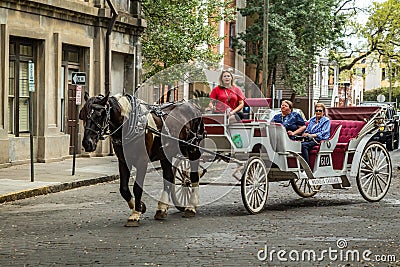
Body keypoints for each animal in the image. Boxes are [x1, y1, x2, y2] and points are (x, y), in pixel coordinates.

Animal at [78, 91, 205, 226]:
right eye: (83, 115)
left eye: (99, 114)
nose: (87, 143)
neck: (131, 124)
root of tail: (194, 107)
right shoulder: (123, 161)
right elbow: (123, 189)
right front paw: (140, 206)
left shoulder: (142, 161)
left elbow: (137, 188)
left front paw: (135, 214)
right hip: (166, 154)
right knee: (169, 177)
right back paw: (162, 208)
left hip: (193, 149)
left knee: (194, 176)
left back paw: (191, 207)